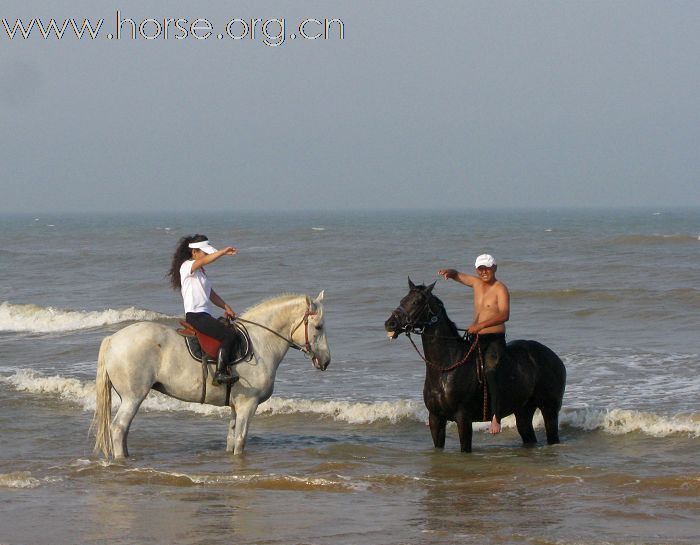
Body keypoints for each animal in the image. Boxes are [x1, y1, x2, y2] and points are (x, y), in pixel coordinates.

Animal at [93, 292, 330, 456]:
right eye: (318, 327)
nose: (326, 361)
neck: (261, 343)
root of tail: (113, 339)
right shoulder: (248, 404)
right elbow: (241, 440)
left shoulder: (236, 406)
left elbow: (231, 439)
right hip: (133, 397)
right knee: (119, 428)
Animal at [386, 280, 568, 450]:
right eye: (402, 300)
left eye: (416, 302)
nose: (389, 324)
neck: (446, 368)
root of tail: (555, 358)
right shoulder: (436, 419)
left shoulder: (463, 418)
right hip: (523, 411)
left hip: (549, 410)